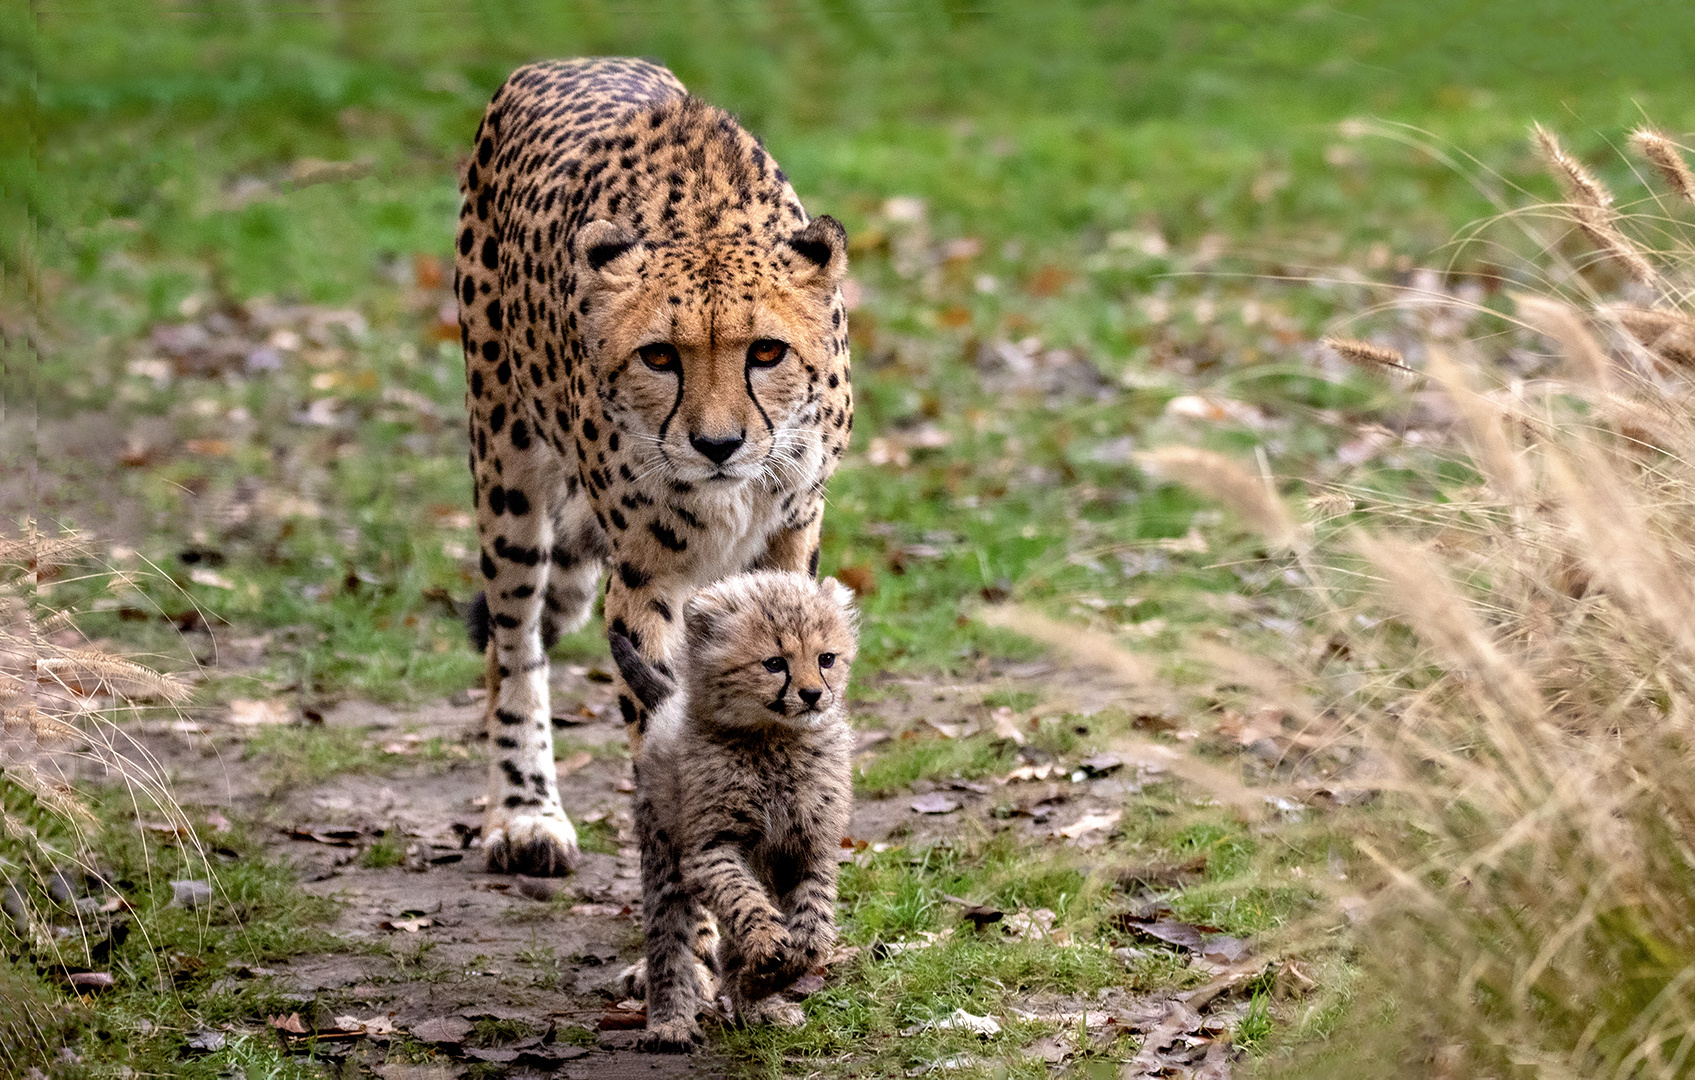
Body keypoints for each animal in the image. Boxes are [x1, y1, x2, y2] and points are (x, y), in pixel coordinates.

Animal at [457, 56, 854, 874]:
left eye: (767, 351)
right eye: (659, 357)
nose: (718, 445)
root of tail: (564, 60)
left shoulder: (790, 536)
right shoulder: (646, 577)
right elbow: (662, 716)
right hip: (505, 464)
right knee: (513, 645)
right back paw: (524, 813)